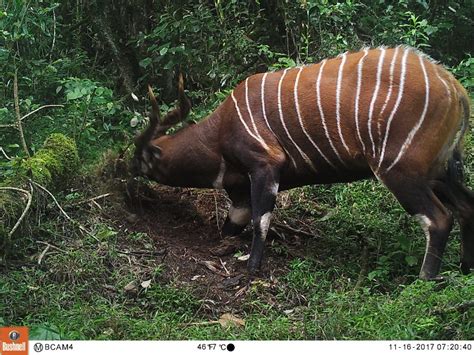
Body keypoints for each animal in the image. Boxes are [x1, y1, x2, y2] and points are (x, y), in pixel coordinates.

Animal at [131, 46, 474, 280]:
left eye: (139, 155)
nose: (127, 171)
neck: (220, 131)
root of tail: (455, 87)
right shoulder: (240, 188)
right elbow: (236, 221)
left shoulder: (265, 165)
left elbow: (261, 220)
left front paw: (251, 268)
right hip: (438, 173)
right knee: (465, 207)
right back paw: (464, 269)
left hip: (400, 170)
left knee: (439, 219)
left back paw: (423, 282)